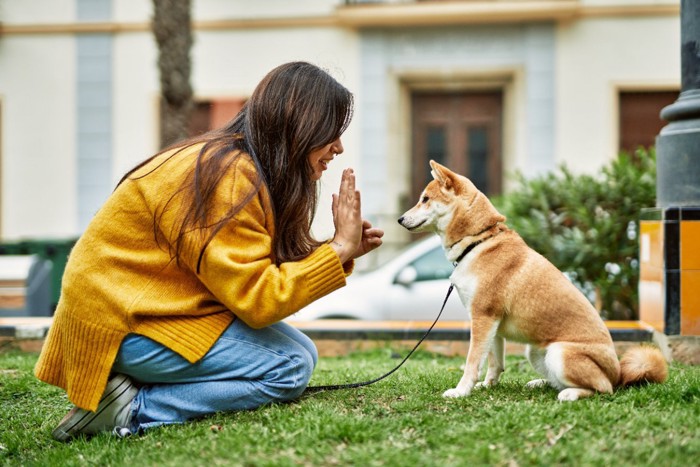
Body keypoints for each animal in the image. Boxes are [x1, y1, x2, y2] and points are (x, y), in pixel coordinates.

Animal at [400, 161, 668, 402]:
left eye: (425, 199)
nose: (400, 219)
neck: (478, 240)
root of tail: (618, 373)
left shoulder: (482, 317)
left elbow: (472, 363)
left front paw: (461, 391)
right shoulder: (491, 323)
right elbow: (495, 363)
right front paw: (487, 386)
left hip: (561, 353)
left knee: (603, 388)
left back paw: (570, 394)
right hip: (535, 352)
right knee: (565, 381)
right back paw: (541, 383)